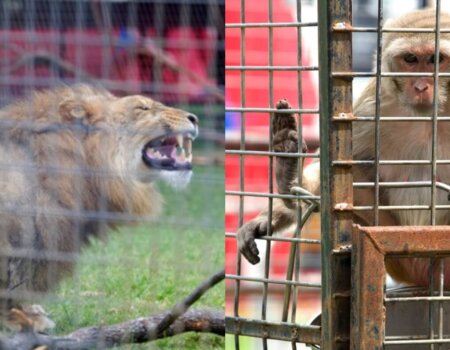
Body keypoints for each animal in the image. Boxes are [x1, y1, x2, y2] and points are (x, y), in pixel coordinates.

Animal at [239, 7, 450, 288]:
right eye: (411, 59)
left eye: (437, 59)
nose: (421, 86)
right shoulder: (373, 106)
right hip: (395, 251)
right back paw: (289, 175)